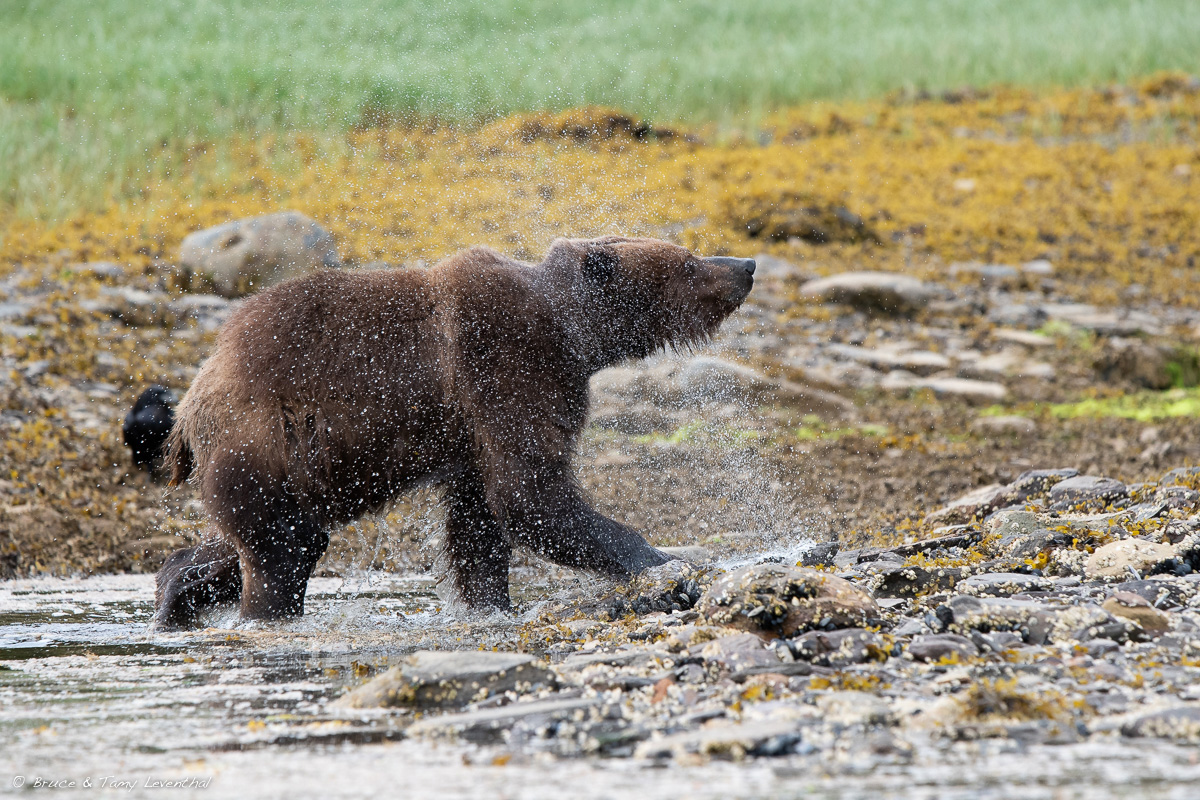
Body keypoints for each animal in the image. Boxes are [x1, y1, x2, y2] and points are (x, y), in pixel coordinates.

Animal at [150, 235, 748, 628]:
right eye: (689, 261)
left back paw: (176, 593)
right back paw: (264, 615)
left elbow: (478, 521)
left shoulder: (470, 434)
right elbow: (532, 496)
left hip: (292, 471)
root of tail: (190, 404)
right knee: (283, 551)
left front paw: (490, 604)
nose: (745, 263)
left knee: (243, 541)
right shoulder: (505, 367)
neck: (571, 334)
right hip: (267, 437)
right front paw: (662, 563)